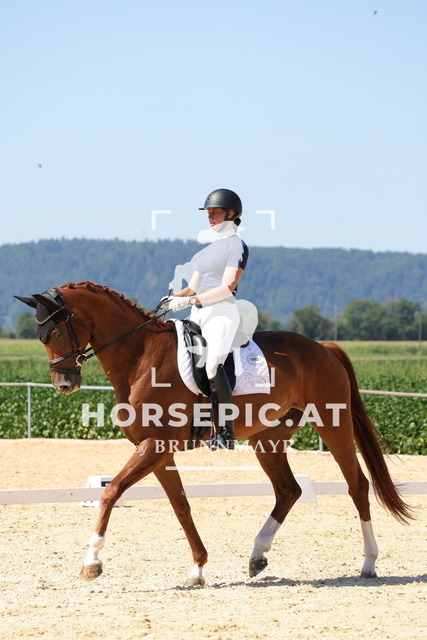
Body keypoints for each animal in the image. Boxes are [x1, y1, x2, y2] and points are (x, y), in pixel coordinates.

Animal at [16, 281, 412, 585]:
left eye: (55, 331)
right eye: (39, 336)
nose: (64, 384)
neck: (141, 357)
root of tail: (322, 347)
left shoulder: (154, 446)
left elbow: (111, 491)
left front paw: (92, 562)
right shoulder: (157, 450)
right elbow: (181, 506)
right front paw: (197, 569)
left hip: (333, 423)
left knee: (357, 486)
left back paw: (369, 563)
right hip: (268, 438)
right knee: (289, 490)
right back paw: (257, 555)